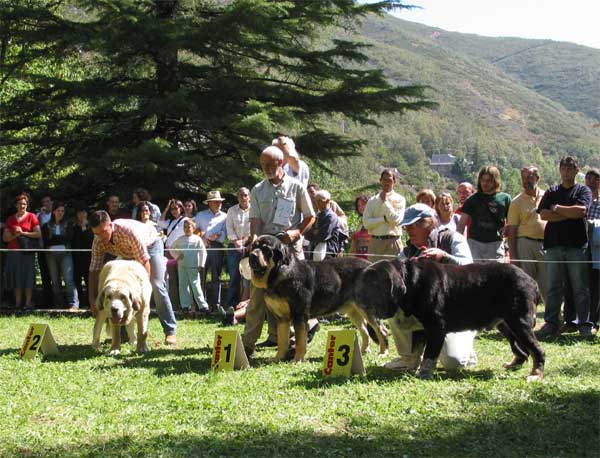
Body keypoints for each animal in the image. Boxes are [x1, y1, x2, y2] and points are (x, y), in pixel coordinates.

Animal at [248, 236, 390, 362]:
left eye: (266, 249)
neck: (278, 274)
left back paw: (383, 353)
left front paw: (297, 359)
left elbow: (300, 341)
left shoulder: (299, 316)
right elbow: (282, 341)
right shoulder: (282, 318)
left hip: (367, 309)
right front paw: (278, 358)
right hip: (354, 311)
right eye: (254, 247)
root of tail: (373, 265)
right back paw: (364, 350)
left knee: (382, 330)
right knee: (365, 331)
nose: (252, 255)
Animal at [354, 258, 548, 380]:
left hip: (519, 323)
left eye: (372, 284)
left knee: (537, 350)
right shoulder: (420, 329)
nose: (358, 296)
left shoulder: (436, 329)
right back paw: (514, 364)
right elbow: (415, 351)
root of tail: (532, 281)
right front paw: (410, 366)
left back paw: (535, 374)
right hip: (506, 325)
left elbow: (429, 357)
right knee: (522, 350)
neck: (411, 286)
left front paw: (423, 374)